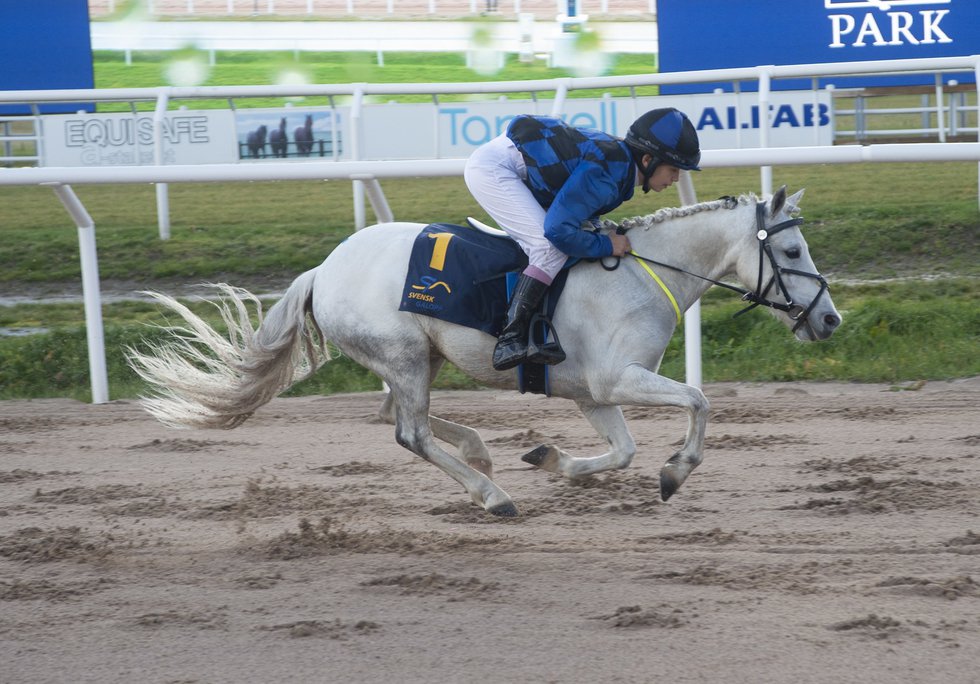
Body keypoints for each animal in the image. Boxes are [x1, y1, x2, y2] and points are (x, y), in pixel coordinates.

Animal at [126, 187, 840, 520]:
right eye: (793, 250)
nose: (830, 319)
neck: (640, 274)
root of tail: (322, 270)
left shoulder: (591, 391)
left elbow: (623, 450)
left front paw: (553, 460)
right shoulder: (617, 378)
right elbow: (697, 400)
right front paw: (677, 472)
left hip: (419, 357)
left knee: (392, 413)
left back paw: (480, 451)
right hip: (404, 355)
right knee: (409, 432)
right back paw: (491, 494)